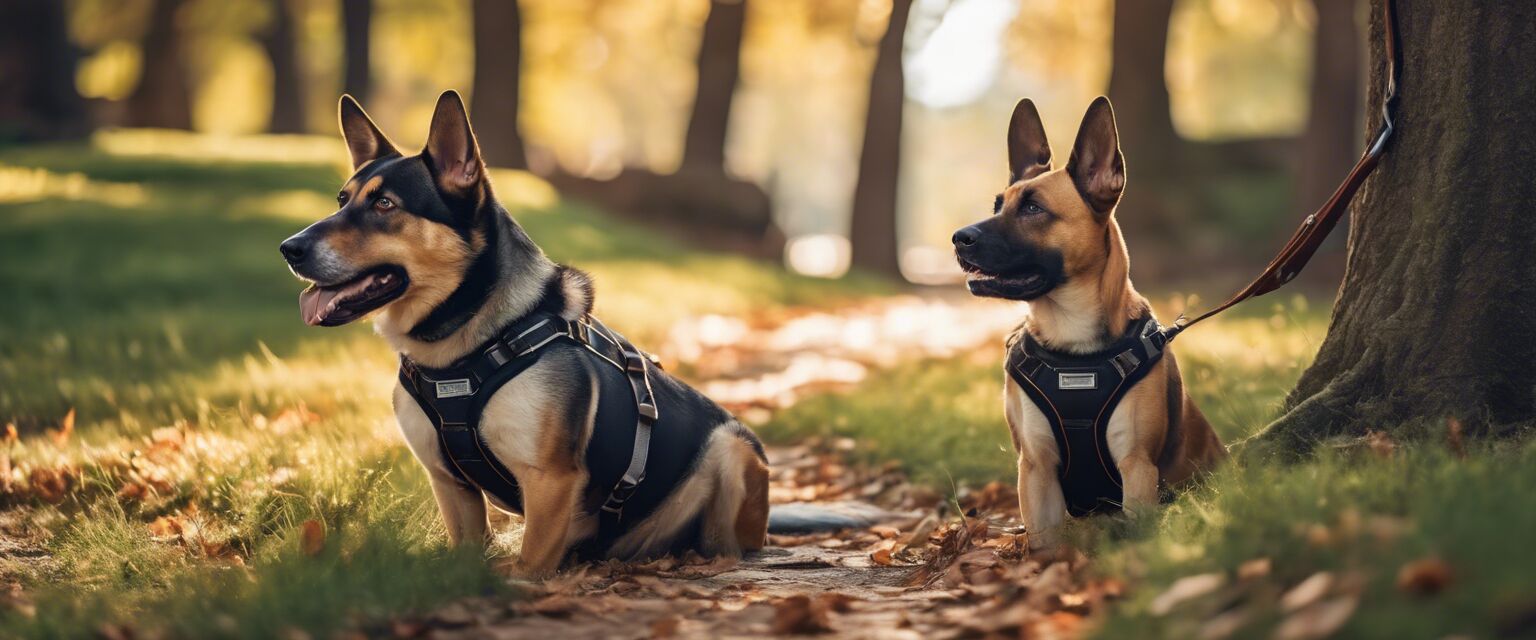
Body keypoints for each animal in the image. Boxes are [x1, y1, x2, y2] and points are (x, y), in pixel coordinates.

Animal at [952, 97, 1228, 546]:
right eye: (997, 205)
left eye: (1033, 208)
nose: (959, 238)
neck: (1073, 340)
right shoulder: (1036, 470)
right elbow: (1043, 547)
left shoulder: (1137, 468)